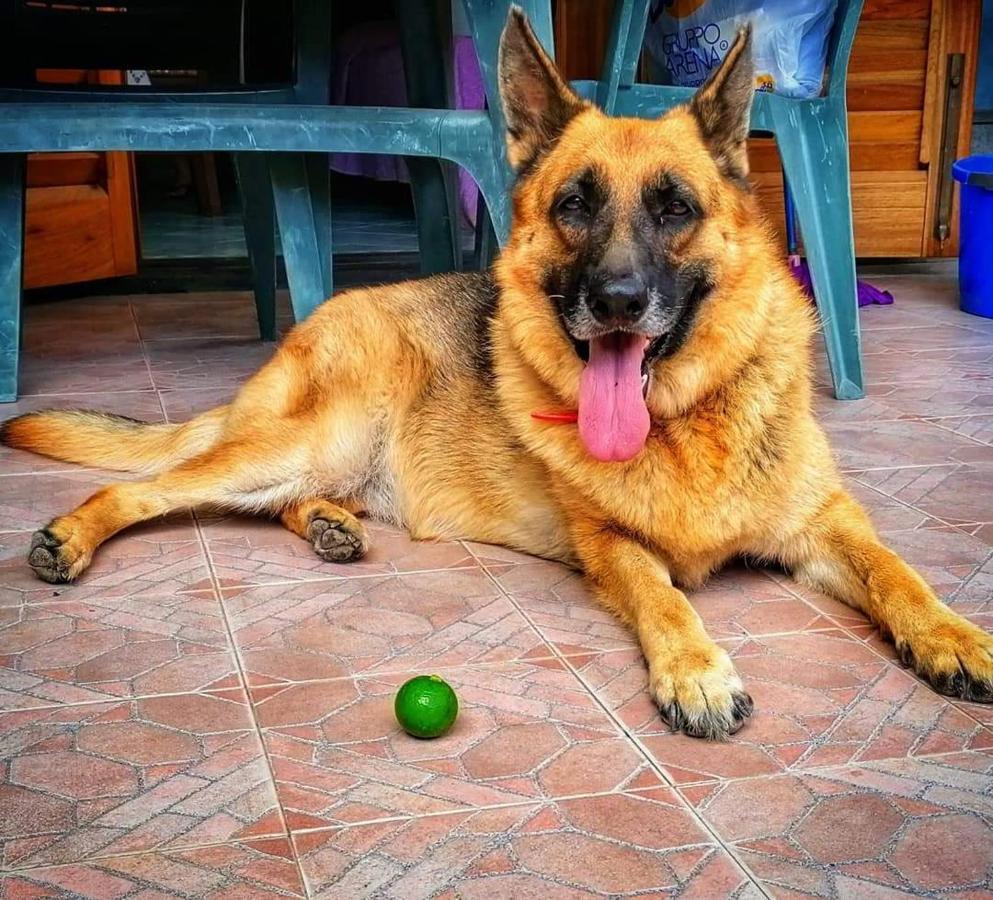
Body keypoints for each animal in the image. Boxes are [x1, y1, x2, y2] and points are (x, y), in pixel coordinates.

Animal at [3, 12, 988, 740]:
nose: (617, 302)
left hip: (321, 460)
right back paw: (73, 536)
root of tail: (319, 316)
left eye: (674, 207)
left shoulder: (828, 523)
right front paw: (695, 670)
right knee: (153, 486)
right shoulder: (609, 545)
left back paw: (327, 526)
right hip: (311, 439)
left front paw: (951, 636)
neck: (682, 420)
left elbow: (897, 571)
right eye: (575, 205)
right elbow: (662, 596)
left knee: (277, 501)